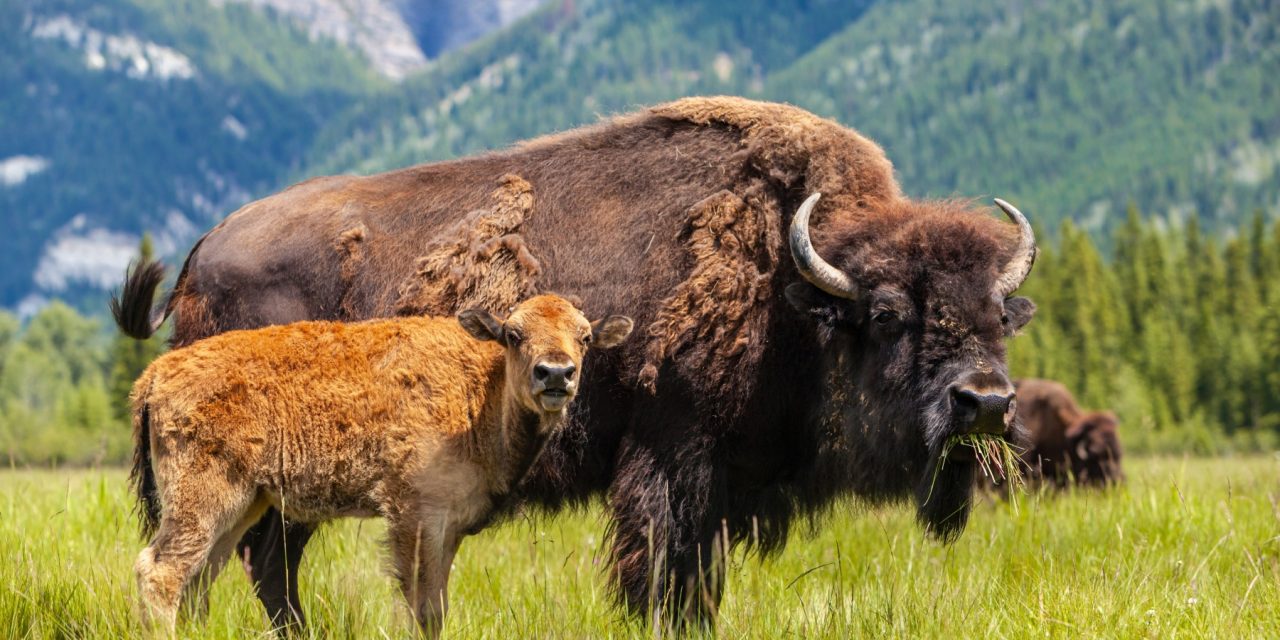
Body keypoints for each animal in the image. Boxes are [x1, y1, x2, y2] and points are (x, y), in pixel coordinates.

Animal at [113, 97, 1038, 632]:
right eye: (887, 315)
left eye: (1000, 315)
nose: (986, 403)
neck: (791, 285)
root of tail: (202, 252)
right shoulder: (674, 458)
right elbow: (663, 571)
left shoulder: (722, 483)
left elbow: (696, 579)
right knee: (255, 564)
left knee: (242, 564)